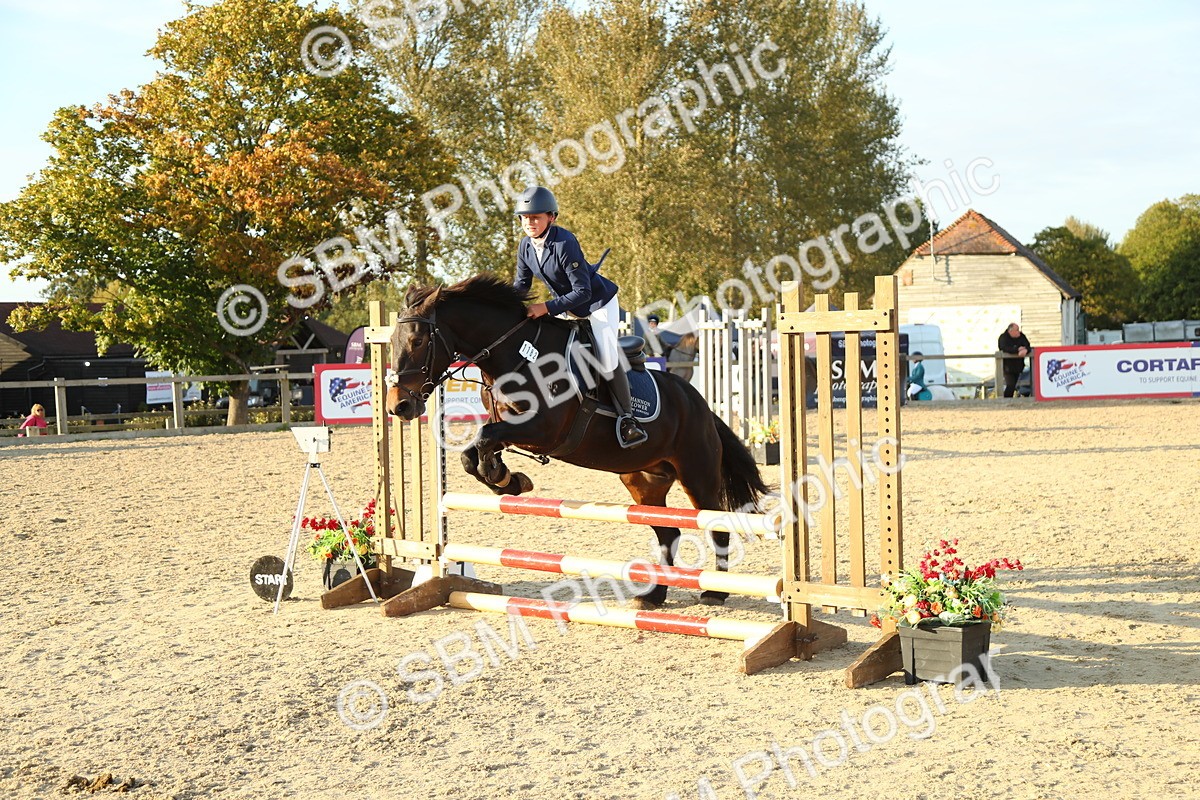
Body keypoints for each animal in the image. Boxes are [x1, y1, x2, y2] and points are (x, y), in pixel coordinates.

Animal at [385, 274, 768, 607]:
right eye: (391, 342)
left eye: (418, 341)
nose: (398, 406)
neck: (517, 355)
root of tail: (699, 403)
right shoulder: (511, 426)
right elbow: (472, 452)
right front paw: (506, 480)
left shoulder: (543, 430)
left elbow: (483, 438)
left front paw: (503, 478)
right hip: (645, 481)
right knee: (667, 533)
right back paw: (655, 595)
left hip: (696, 473)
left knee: (715, 523)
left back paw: (715, 591)